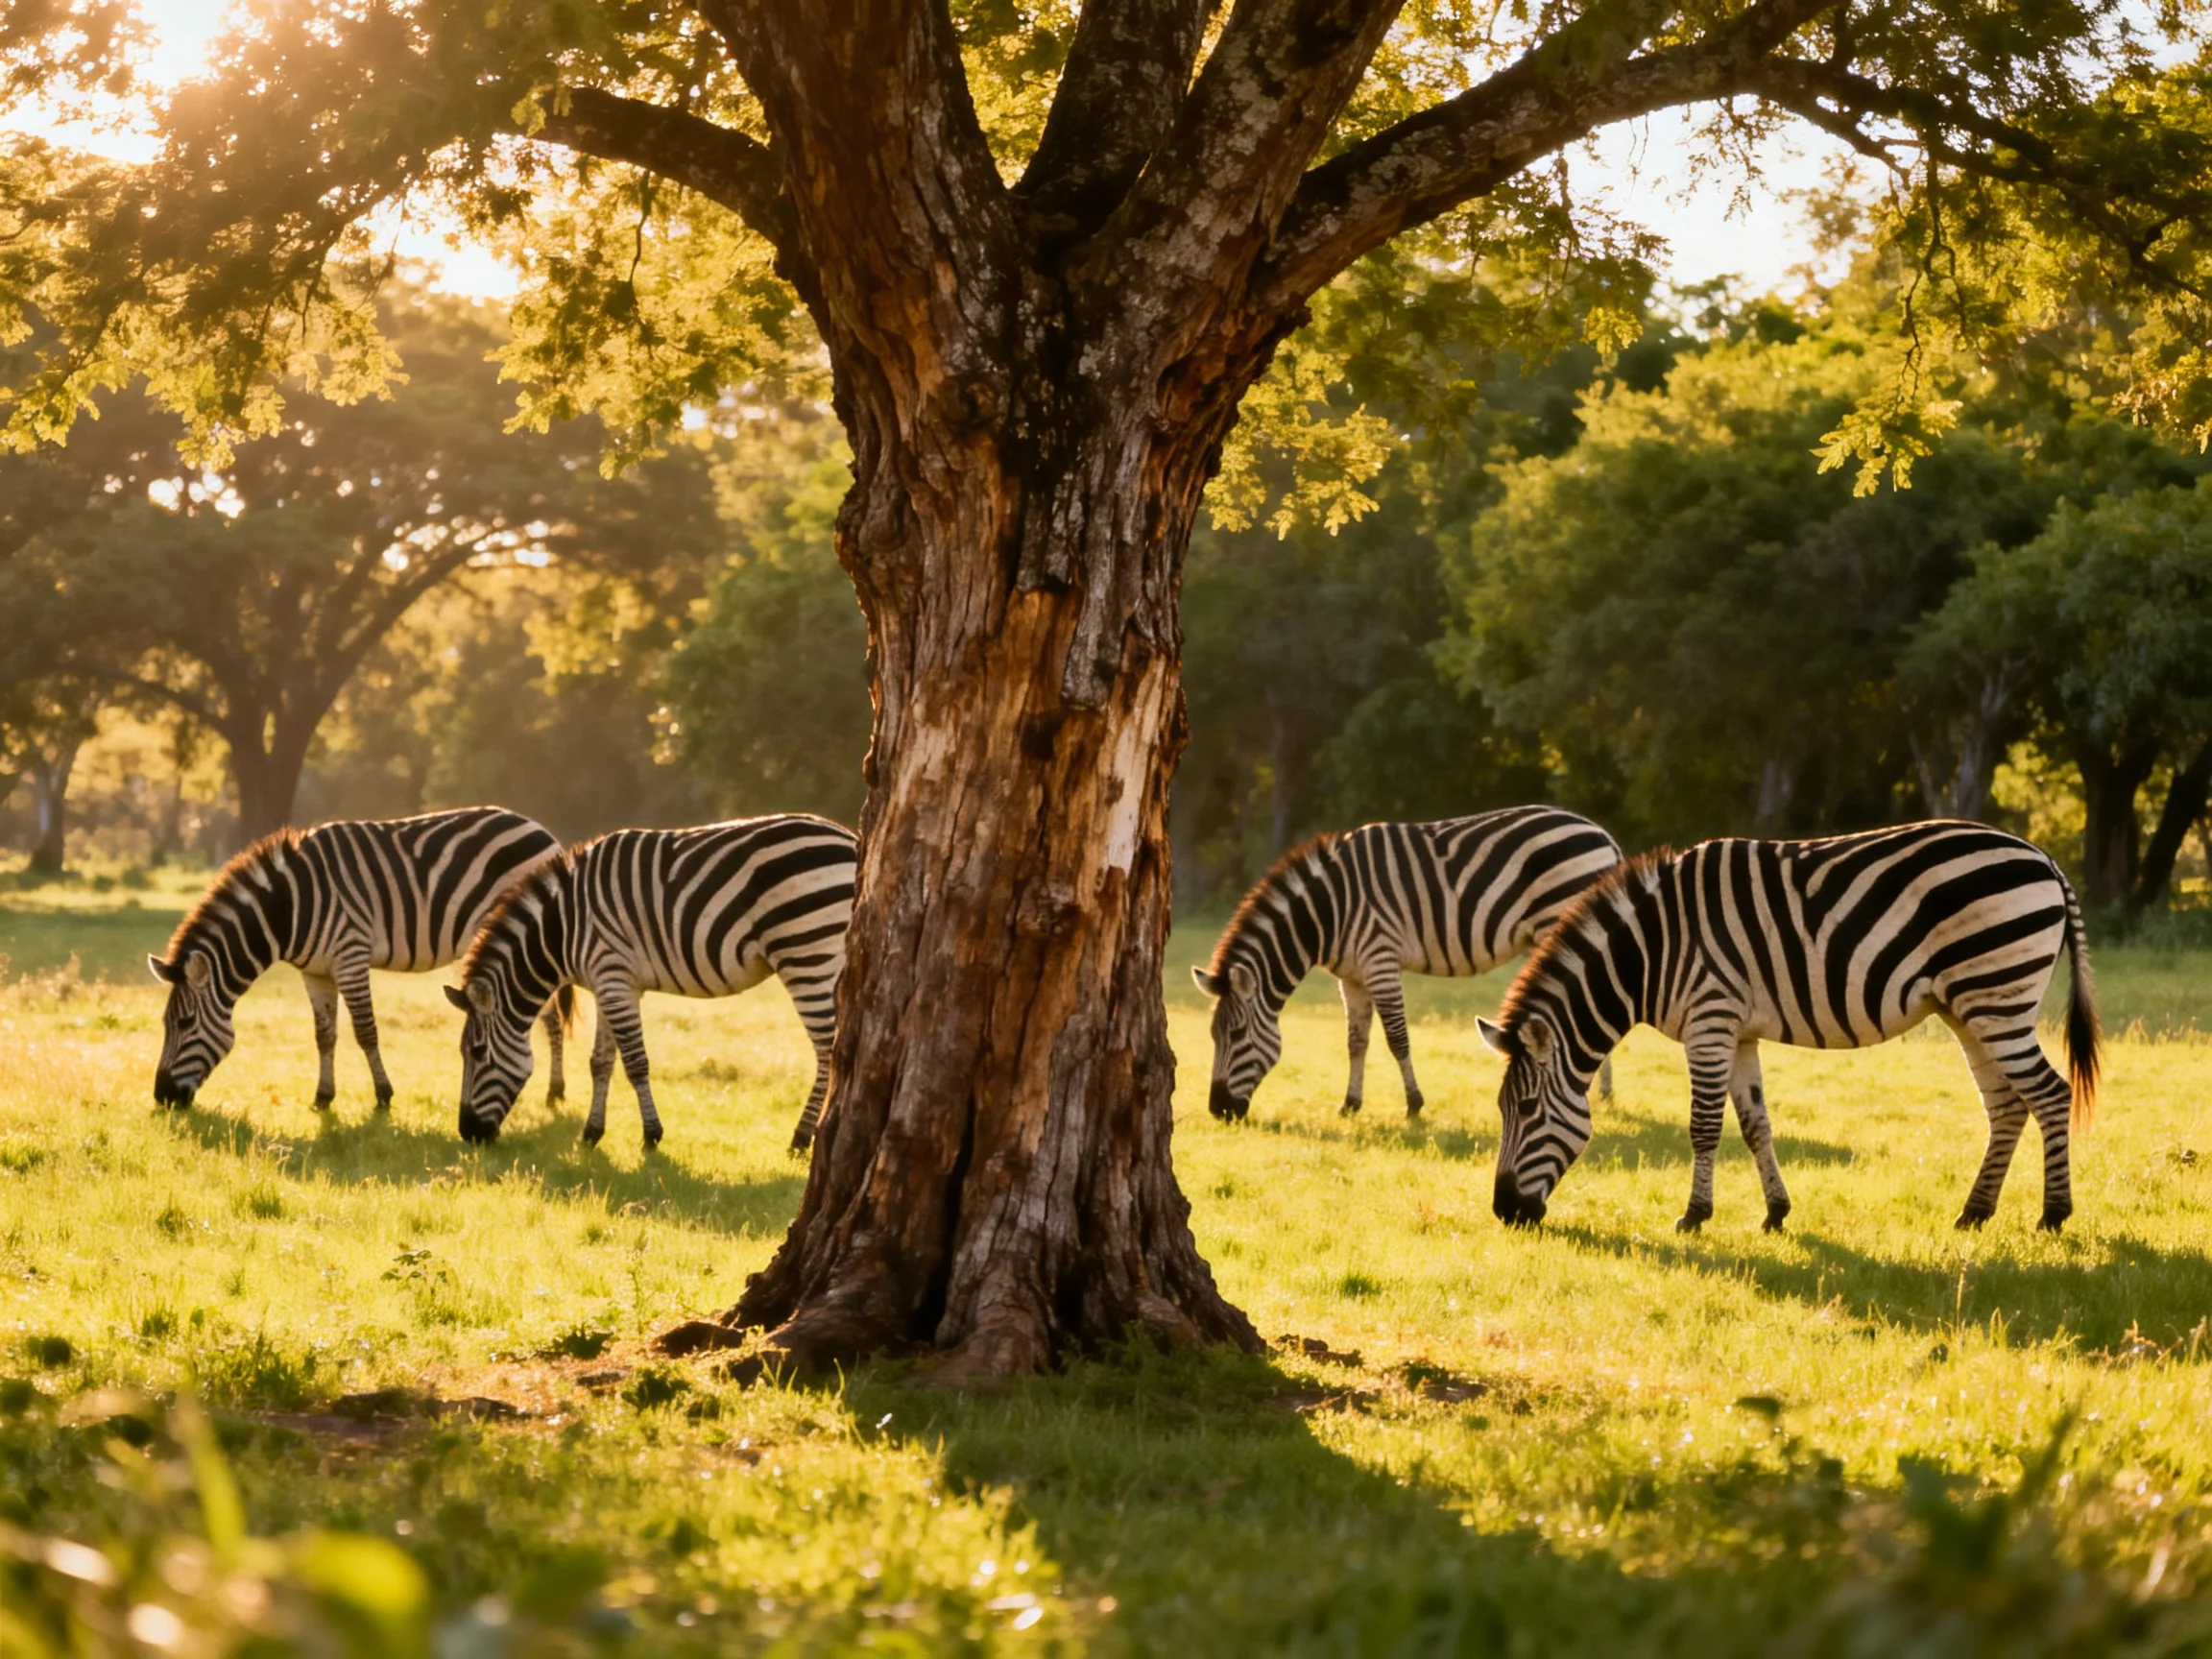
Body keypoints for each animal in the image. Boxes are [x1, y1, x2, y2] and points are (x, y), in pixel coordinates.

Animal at [149, 807, 571, 1112]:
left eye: (184, 1023)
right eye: (164, 1024)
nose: (162, 1097)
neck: (290, 908)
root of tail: (540, 829)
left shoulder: (350, 957)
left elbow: (366, 1031)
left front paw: (383, 1096)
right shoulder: (315, 972)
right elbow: (324, 1035)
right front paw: (322, 1098)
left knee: (550, 1017)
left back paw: (555, 1092)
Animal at [446, 814, 856, 1152]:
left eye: (478, 1053)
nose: (468, 1134)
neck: (563, 930)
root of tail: (851, 839)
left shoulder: (613, 973)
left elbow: (635, 1062)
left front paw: (651, 1136)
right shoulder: (608, 983)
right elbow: (601, 1061)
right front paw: (591, 1133)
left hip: (808, 954)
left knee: (829, 1051)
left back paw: (802, 1138)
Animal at [1192, 807, 1624, 1122]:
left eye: (1235, 1036)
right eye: (1211, 1037)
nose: (1218, 1111)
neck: (1328, 911)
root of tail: (1600, 833)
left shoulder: (1380, 959)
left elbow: (1397, 1037)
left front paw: (1414, 1104)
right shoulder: (1352, 976)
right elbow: (1356, 1041)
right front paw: (1350, 1104)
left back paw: (1595, 1090)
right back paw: (1603, 1093)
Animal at [1478, 820, 2100, 1234]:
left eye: (1526, 1110)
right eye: (1502, 1110)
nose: (1504, 1213)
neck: (1651, 953)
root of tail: (2043, 857)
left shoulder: (1709, 1020)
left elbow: (1704, 1127)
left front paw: (1693, 1217)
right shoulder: (1738, 1031)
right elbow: (1756, 1125)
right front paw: (1776, 1214)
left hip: (1998, 996)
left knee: (2050, 1094)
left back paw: (2052, 1216)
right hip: (1971, 1008)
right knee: (2008, 1105)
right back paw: (1974, 1213)